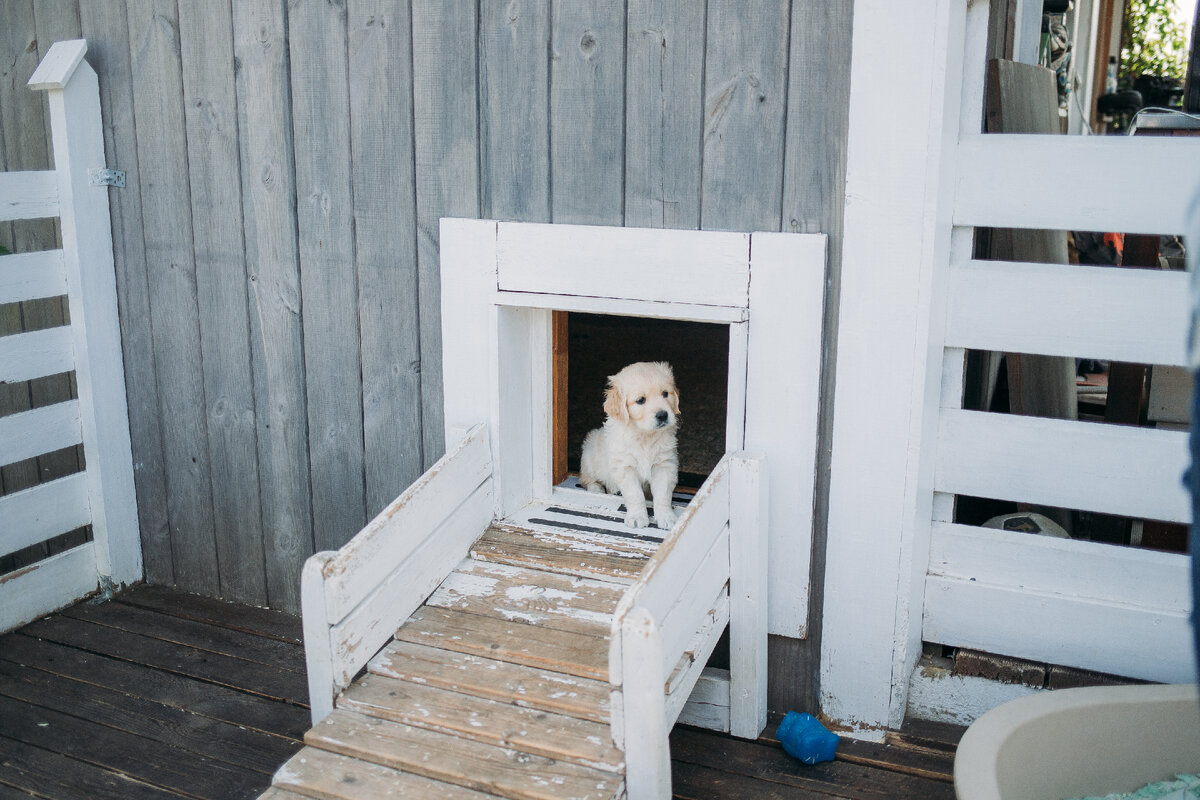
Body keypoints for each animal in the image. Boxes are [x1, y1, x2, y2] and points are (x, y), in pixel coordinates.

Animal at [578, 359, 681, 527]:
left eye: (665, 393)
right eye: (640, 400)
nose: (663, 415)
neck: (645, 436)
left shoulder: (664, 465)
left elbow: (663, 496)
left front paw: (667, 518)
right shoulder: (625, 467)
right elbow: (635, 495)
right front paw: (637, 517)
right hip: (589, 457)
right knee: (587, 479)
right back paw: (597, 489)